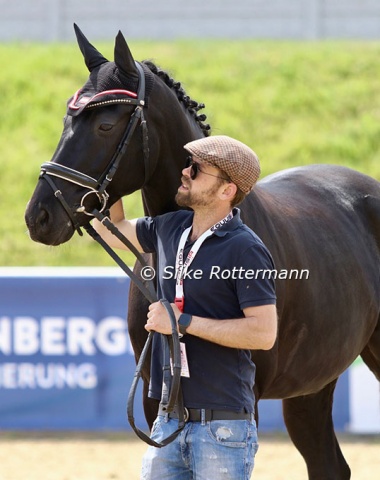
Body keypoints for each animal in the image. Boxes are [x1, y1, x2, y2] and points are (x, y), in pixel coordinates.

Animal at [26, 27, 380, 480]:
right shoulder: (155, 398)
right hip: (312, 384)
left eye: (105, 124)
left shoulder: (245, 401)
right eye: (66, 120)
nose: (40, 215)